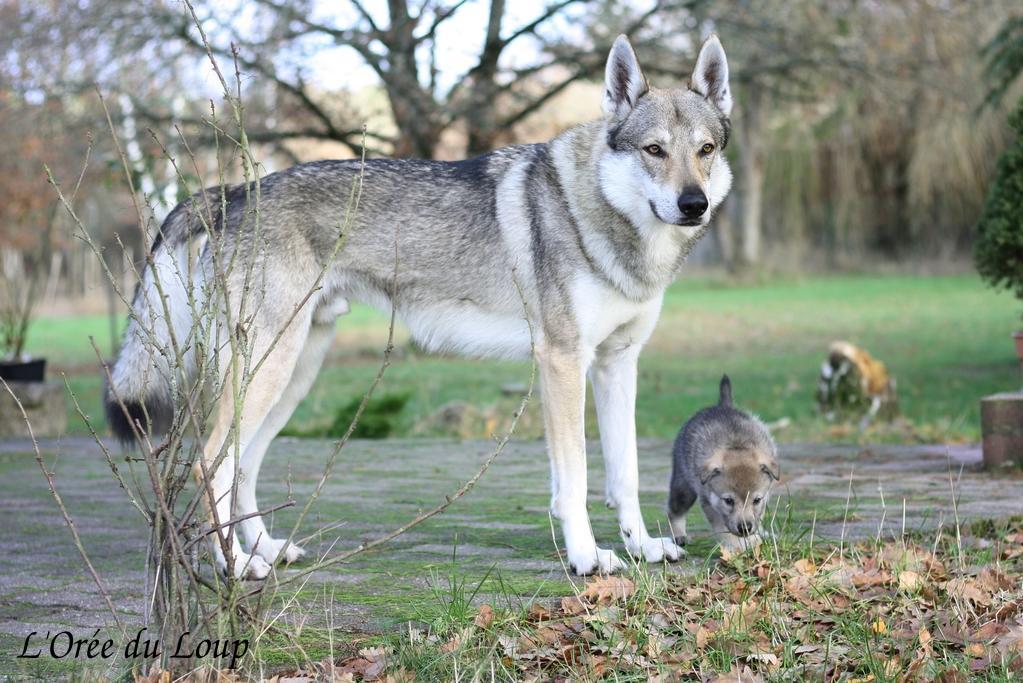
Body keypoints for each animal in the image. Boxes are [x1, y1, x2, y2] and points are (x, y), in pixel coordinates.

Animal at [106, 34, 735, 578]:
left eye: (705, 151)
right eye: (654, 151)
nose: (694, 204)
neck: (607, 220)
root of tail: (233, 192)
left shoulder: (617, 364)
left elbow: (624, 474)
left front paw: (644, 547)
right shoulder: (562, 363)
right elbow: (576, 481)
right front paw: (585, 557)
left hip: (293, 375)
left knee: (243, 465)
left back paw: (266, 549)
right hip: (267, 372)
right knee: (209, 462)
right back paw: (235, 566)